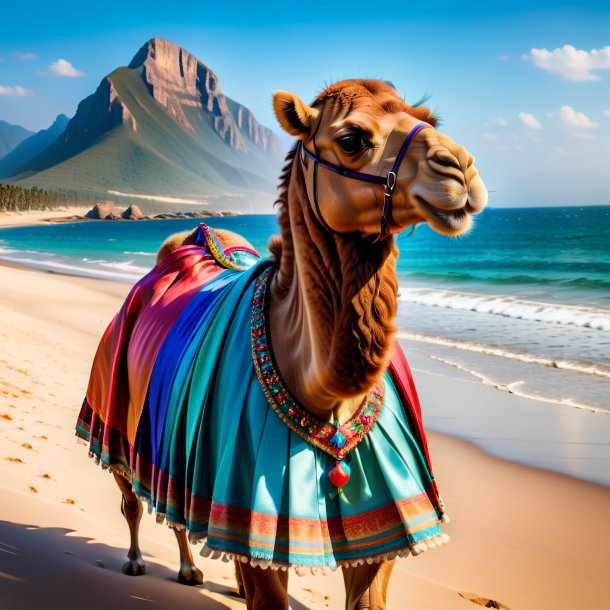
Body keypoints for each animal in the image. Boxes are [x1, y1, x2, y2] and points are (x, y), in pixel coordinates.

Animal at [76, 78, 484, 604]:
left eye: (428, 120)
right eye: (351, 138)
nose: (461, 168)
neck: (324, 394)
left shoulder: (388, 523)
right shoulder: (252, 505)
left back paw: (198, 572)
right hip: (116, 416)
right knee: (135, 499)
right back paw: (139, 561)